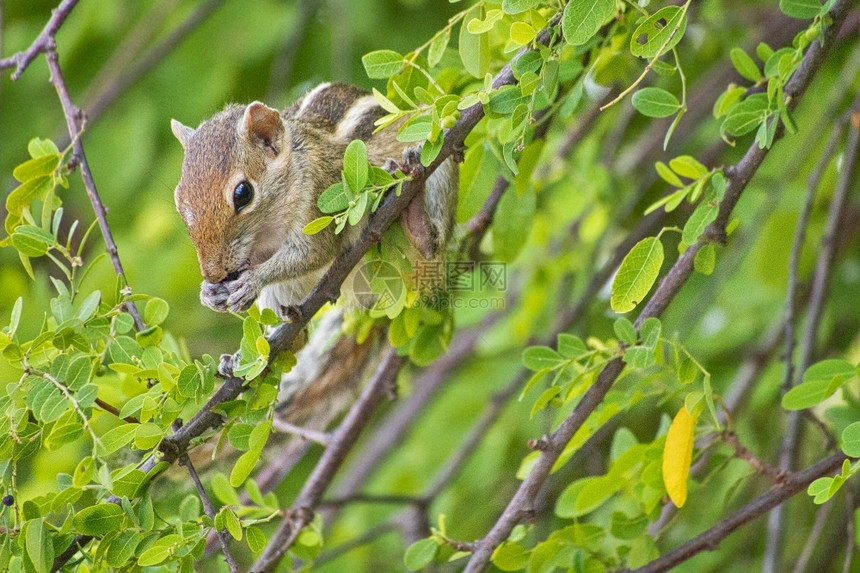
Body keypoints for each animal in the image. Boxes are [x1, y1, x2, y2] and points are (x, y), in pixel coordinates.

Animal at [170, 81, 460, 318]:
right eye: (178, 199)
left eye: (242, 193)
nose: (213, 273)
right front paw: (208, 292)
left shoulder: (316, 194)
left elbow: (314, 251)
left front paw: (252, 281)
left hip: (435, 147)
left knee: (431, 245)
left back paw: (417, 218)